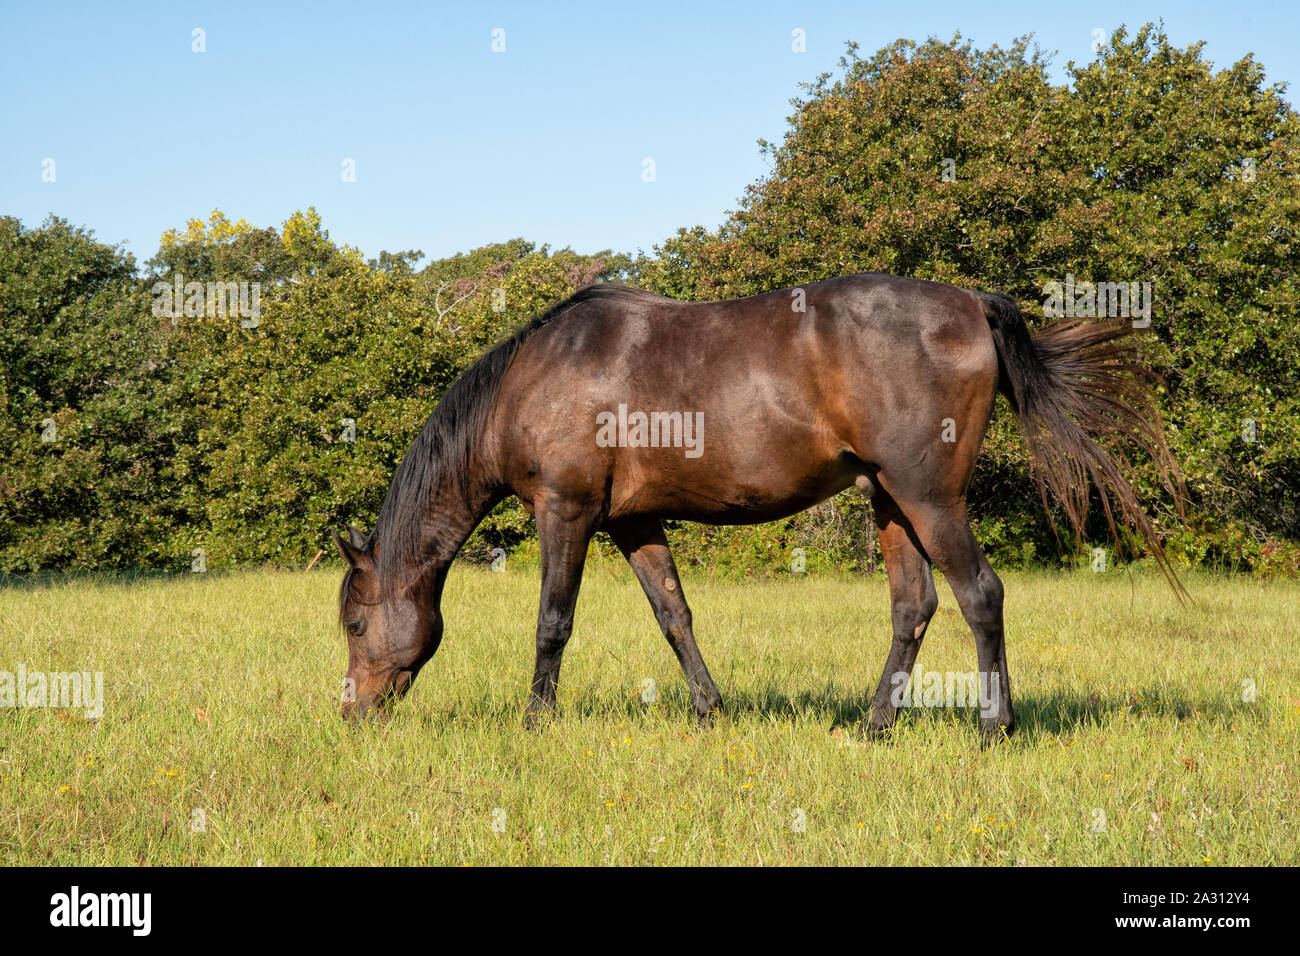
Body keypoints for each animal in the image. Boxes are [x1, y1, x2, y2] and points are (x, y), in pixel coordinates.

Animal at [332, 273, 1180, 743]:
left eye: (354, 623)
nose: (351, 716)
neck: (538, 374)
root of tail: (971, 304)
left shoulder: (565, 511)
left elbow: (552, 622)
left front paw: (537, 722)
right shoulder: (633, 522)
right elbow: (674, 616)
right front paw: (711, 712)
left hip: (928, 497)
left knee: (980, 596)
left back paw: (993, 728)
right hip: (891, 503)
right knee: (915, 607)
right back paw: (873, 728)